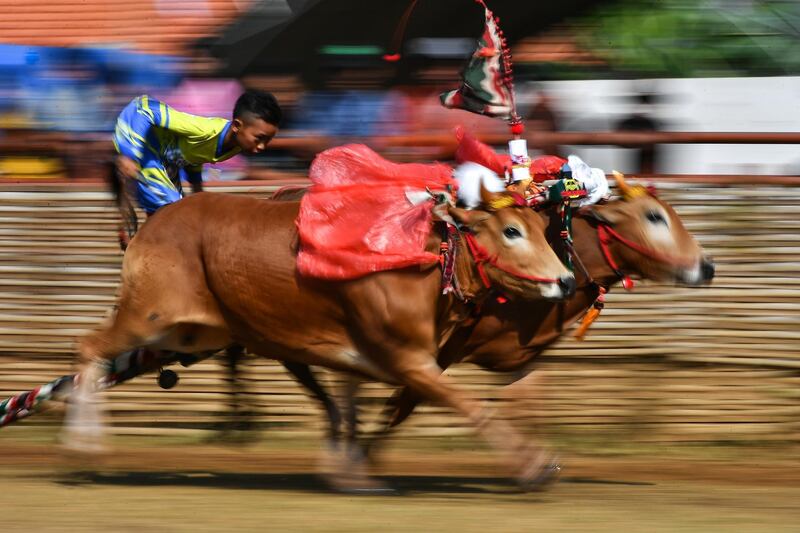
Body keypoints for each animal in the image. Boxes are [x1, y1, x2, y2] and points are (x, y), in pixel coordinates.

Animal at [65, 189, 572, 488]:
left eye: (541, 229)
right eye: (511, 231)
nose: (566, 281)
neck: (427, 258)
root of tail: (152, 221)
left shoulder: (365, 357)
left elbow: (347, 404)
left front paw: (350, 473)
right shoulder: (409, 359)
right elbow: (472, 407)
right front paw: (534, 465)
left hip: (191, 332)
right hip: (147, 316)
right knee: (88, 350)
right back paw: (86, 449)